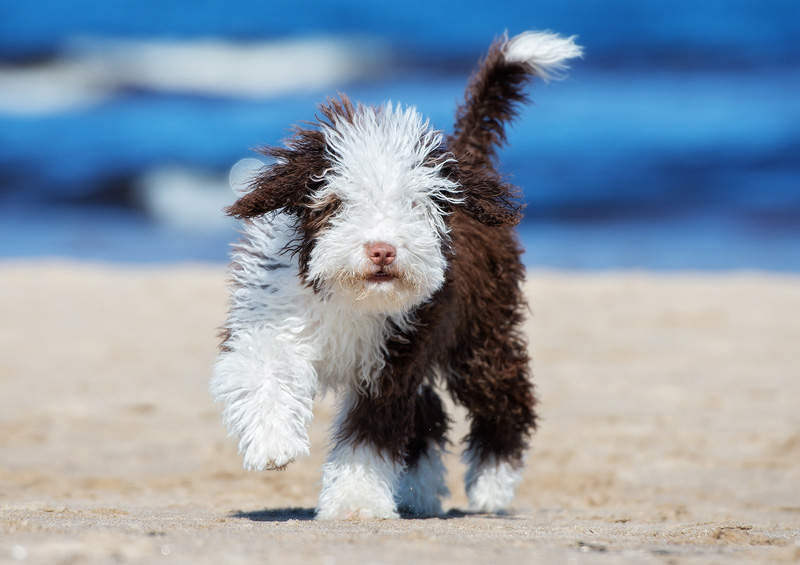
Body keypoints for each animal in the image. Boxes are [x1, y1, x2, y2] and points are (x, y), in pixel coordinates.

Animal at [211, 29, 580, 516]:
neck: (350, 298)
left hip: (479, 331)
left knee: (506, 397)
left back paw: (492, 484)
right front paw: (274, 442)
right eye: (338, 202)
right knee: (430, 413)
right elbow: (262, 367)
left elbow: (369, 435)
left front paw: (355, 501)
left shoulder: (394, 357)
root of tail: (466, 154)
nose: (382, 251)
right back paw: (421, 491)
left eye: (416, 203)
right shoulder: (269, 316)